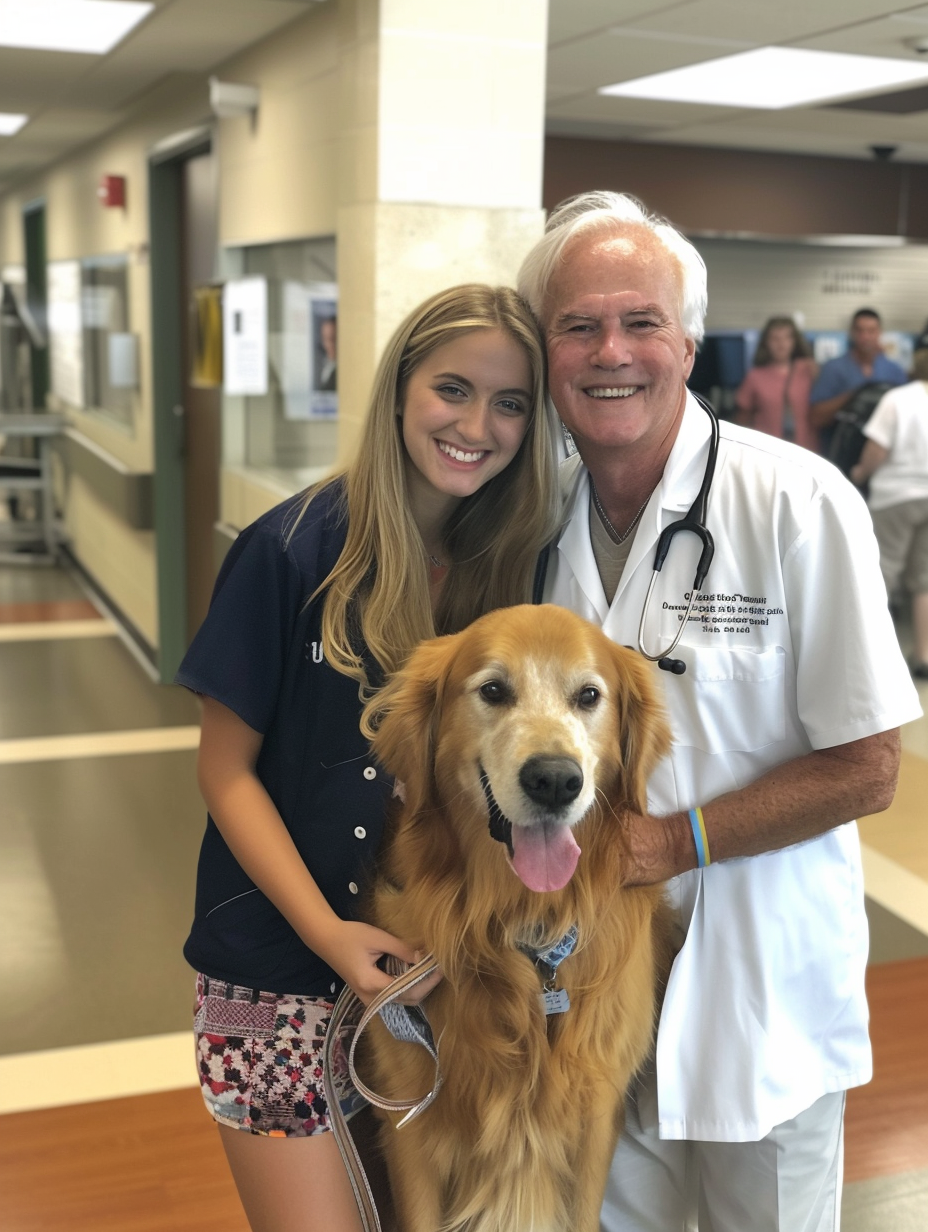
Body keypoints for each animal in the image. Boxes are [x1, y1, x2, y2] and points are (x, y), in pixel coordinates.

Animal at [357, 606, 670, 1232]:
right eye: (494, 691)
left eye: (589, 695)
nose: (554, 779)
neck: (523, 923)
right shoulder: (410, 1123)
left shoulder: (595, 1119)